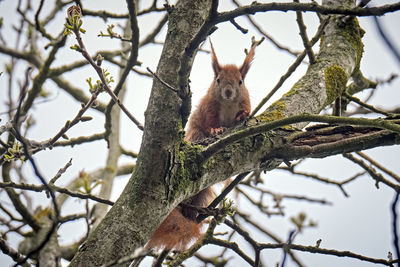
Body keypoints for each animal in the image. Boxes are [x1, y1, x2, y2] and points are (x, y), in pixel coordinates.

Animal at [145, 38, 258, 252]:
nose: (228, 92)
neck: (228, 104)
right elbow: (210, 122)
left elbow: (246, 110)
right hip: (196, 134)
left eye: (241, 81)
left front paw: (243, 116)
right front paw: (216, 130)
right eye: (218, 80)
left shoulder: (245, 100)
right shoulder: (209, 107)